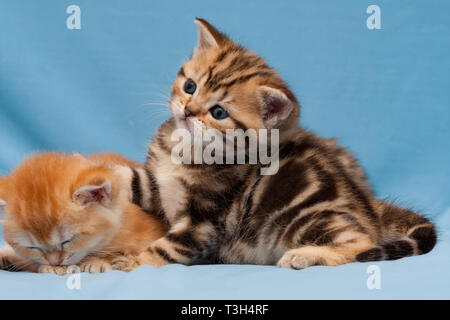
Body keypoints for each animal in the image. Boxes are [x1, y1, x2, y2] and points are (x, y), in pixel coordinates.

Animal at [107, 18, 434, 270]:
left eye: (218, 112)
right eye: (190, 86)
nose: (188, 111)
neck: (184, 150)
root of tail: (367, 208)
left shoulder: (203, 223)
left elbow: (164, 249)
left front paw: (130, 264)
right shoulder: (157, 184)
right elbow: (135, 180)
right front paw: (103, 177)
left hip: (304, 216)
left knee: (362, 243)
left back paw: (306, 255)